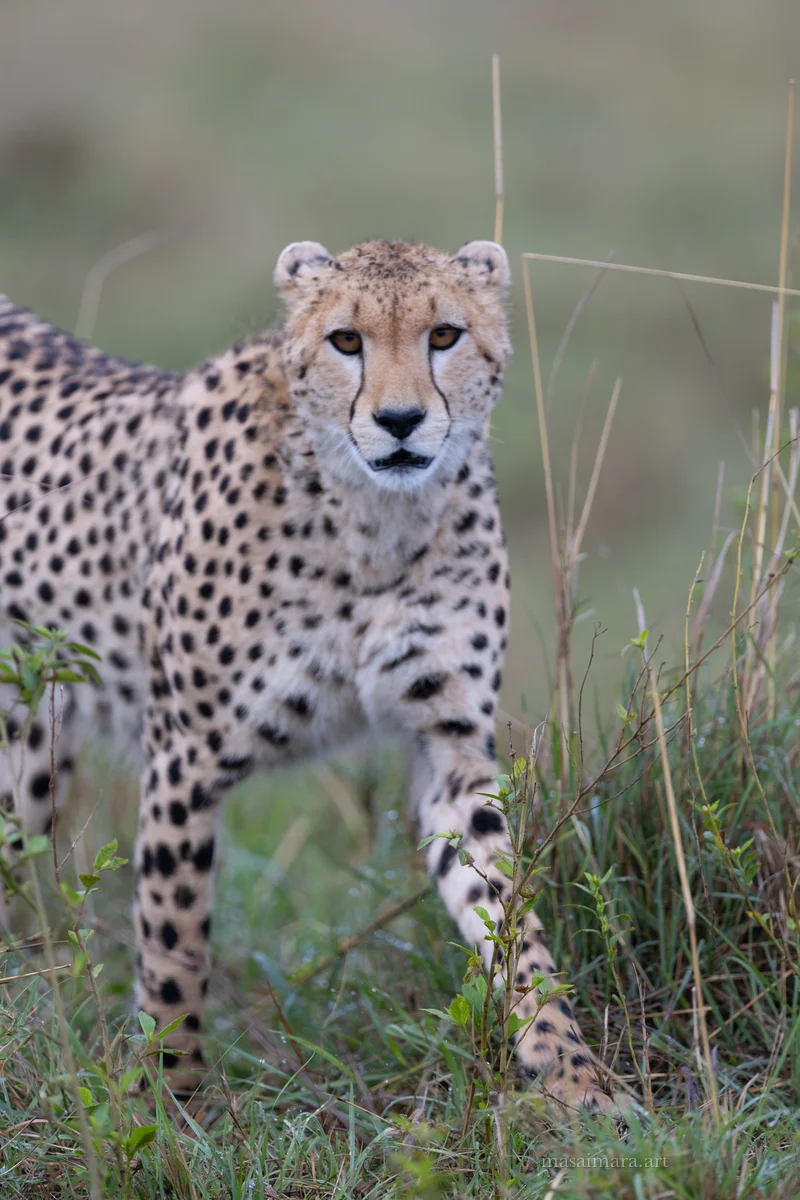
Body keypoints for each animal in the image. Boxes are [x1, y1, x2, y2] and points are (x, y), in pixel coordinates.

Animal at [0, 237, 617, 1111]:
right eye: (345, 341)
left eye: (445, 335)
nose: (400, 421)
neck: (371, 522)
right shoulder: (186, 757)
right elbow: (174, 939)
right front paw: (173, 1101)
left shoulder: (448, 747)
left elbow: (508, 912)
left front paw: (573, 1072)